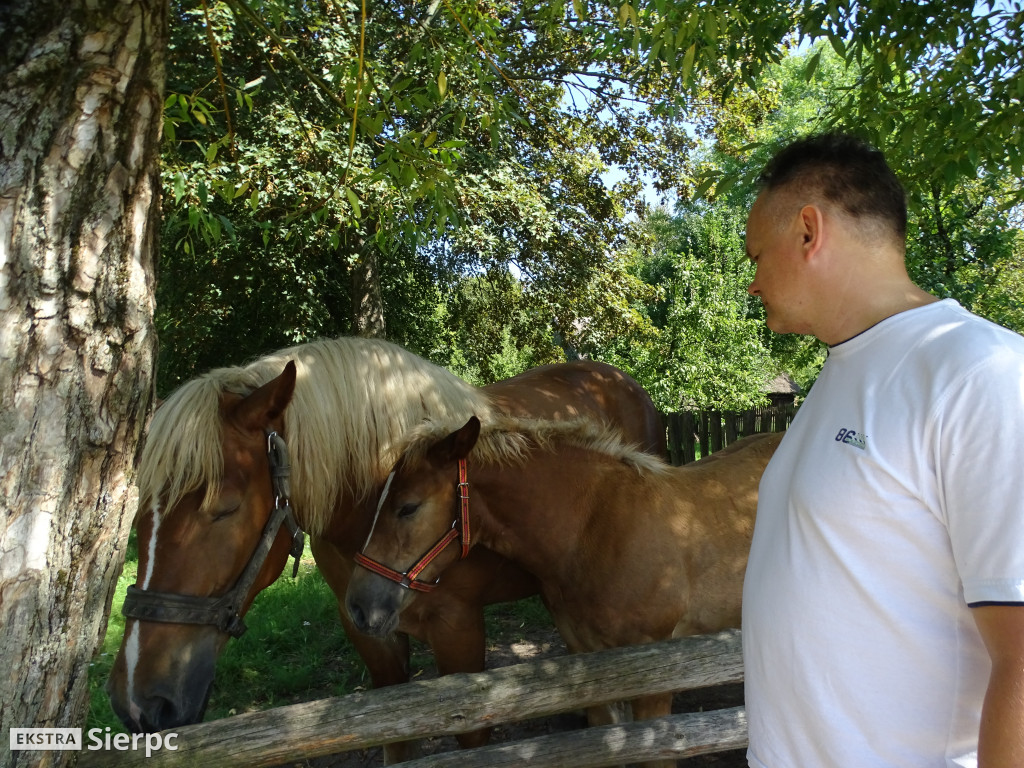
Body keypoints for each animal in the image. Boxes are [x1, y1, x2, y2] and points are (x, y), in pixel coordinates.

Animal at [105, 337, 663, 765]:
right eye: (138, 514)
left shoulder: (459, 632)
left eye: (223, 509)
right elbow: (393, 737)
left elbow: (472, 737)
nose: (137, 702)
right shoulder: (369, 635)